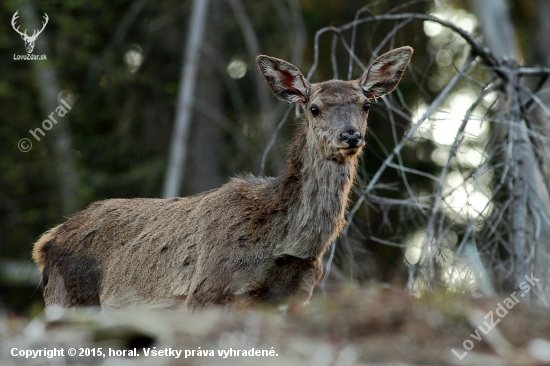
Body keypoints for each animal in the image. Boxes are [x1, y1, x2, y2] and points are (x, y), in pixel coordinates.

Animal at [33, 46, 414, 312]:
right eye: (314, 108)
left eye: (366, 104)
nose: (351, 136)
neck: (283, 246)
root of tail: (45, 244)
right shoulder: (207, 290)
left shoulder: (296, 295)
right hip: (68, 299)